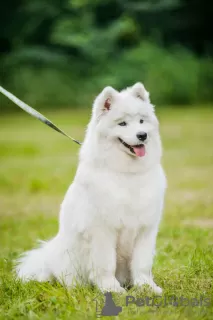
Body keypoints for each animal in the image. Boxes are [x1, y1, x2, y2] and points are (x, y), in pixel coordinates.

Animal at [15, 82, 167, 292]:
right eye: (122, 124)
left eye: (142, 121)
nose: (142, 135)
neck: (127, 173)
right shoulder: (102, 230)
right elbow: (106, 264)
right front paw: (111, 288)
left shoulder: (146, 229)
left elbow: (142, 264)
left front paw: (147, 287)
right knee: (67, 277)